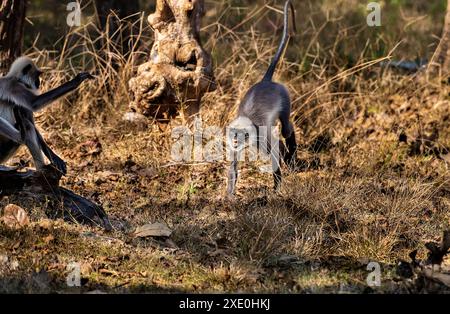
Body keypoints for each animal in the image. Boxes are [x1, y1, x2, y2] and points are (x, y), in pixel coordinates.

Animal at [227, 0, 298, 196]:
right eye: (233, 134)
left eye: (241, 135)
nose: (235, 140)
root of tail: (266, 81)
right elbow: (233, 167)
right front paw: (229, 196)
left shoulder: (260, 134)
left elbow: (275, 149)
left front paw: (277, 187)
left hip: (284, 97)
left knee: (286, 131)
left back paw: (290, 156)